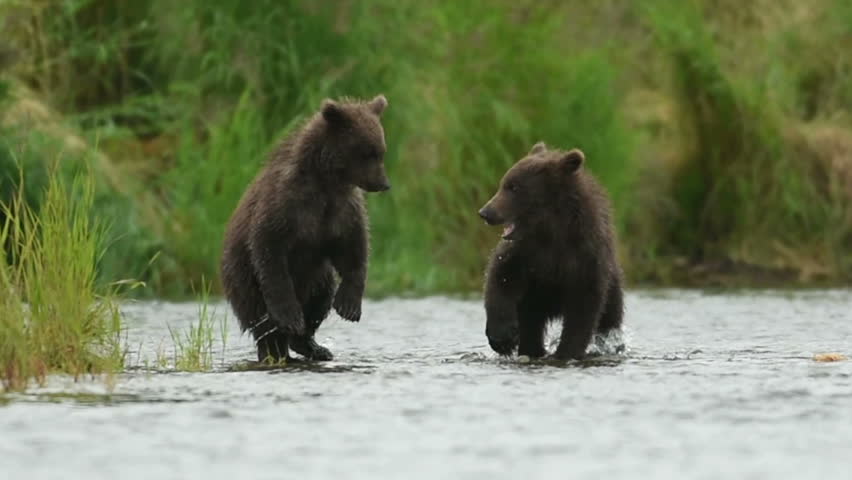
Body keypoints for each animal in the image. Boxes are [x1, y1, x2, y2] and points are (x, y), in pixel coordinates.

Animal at [220, 94, 391, 363]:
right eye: (367, 152)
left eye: (381, 151)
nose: (383, 183)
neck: (326, 182)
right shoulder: (285, 206)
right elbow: (270, 252)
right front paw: (289, 316)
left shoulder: (342, 211)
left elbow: (353, 249)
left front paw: (349, 305)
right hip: (242, 278)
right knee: (261, 319)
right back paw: (276, 347)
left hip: (317, 278)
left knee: (320, 298)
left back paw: (312, 345)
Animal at [477, 141, 624, 360]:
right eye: (504, 183)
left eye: (514, 187)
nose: (486, 212)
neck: (550, 232)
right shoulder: (524, 254)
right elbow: (500, 277)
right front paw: (503, 339)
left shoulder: (585, 258)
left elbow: (583, 309)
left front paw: (565, 352)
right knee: (531, 325)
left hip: (613, 290)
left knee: (609, 322)